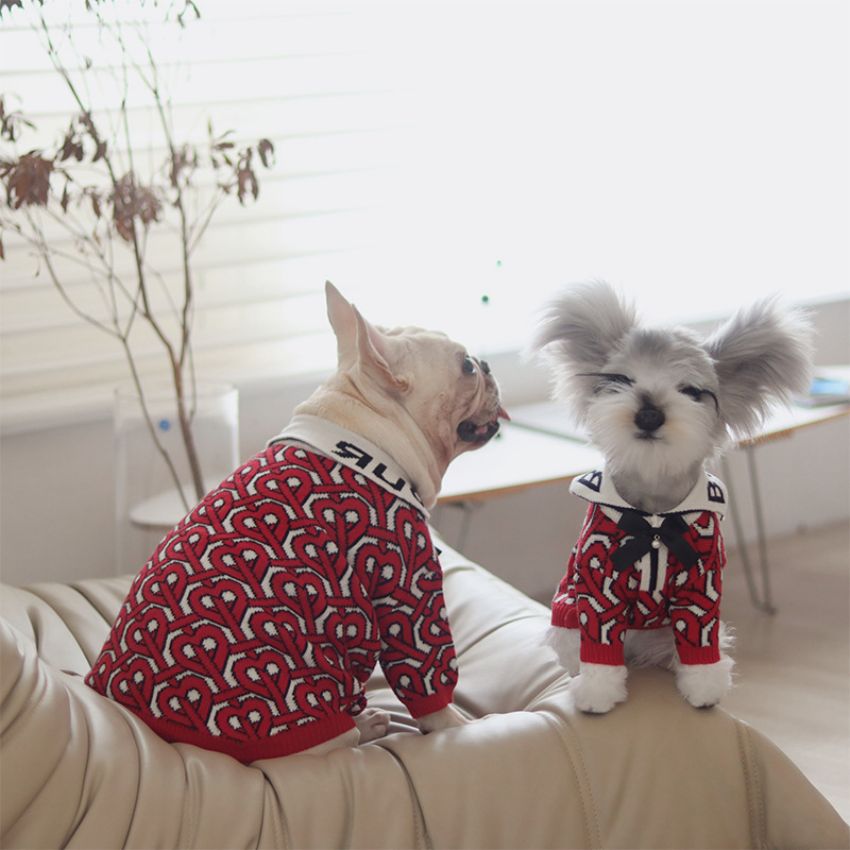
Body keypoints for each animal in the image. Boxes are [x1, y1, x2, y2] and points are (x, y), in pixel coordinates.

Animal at [532, 282, 812, 712]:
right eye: (621, 380)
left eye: (691, 391)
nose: (649, 414)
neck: (655, 514)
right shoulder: (599, 590)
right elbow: (599, 646)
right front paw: (598, 692)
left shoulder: (702, 588)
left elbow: (699, 640)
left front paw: (703, 687)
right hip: (566, 613)